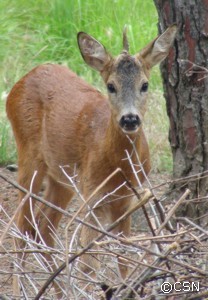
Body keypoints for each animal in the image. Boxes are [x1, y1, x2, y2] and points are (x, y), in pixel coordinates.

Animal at [7, 25, 177, 290]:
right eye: (111, 86)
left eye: (145, 85)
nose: (130, 119)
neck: (119, 167)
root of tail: (21, 81)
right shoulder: (93, 195)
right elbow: (89, 263)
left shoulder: (129, 198)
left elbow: (124, 254)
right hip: (29, 157)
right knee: (20, 226)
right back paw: (24, 288)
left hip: (62, 178)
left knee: (43, 227)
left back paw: (58, 289)